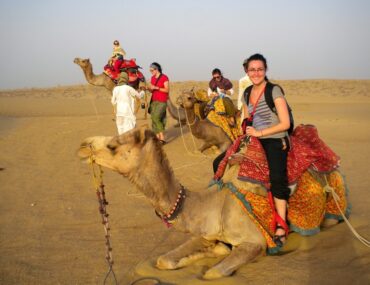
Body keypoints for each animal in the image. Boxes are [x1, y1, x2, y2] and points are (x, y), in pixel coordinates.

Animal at [77, 126, 344, 278]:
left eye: (112, 145)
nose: (82, 145)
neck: (216, 204)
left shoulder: (255, 241)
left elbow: (213, 274)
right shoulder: (206, 232)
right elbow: (164, 260)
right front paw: (213, 250)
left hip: (331, 209)